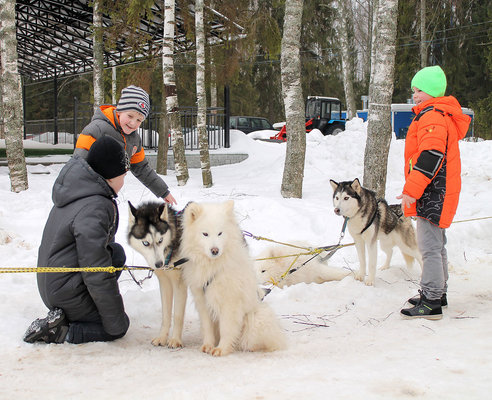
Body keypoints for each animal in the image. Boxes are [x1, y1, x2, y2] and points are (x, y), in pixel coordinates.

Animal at [127, 202, 188, 348]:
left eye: (160, 240)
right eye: (145, 243)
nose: (159, 264)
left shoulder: (179, 284)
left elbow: (177, 315)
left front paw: (175, 339)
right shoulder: (165, 283)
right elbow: (165, 315)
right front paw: (162, 337)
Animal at [181, 200, 286, 356]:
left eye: (220, 233)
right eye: (205, 234)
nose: (215, 250)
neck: (214, 267)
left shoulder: (230, 303)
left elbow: (227, 328)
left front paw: (221, 349)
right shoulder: (202, 299)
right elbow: (207, 327)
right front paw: (208, 346)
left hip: (256, 317)